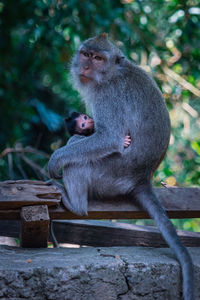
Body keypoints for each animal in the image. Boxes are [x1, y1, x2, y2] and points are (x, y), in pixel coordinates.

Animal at [48, 33, 194, 300]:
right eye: (86, 54)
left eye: (98, 58)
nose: (85, 67)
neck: (111, 74)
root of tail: (142, 178)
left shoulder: (109, 96)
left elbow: (109, 137)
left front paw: (55, 159)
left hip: (109, 175)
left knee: (78, 159)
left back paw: (75, 204)